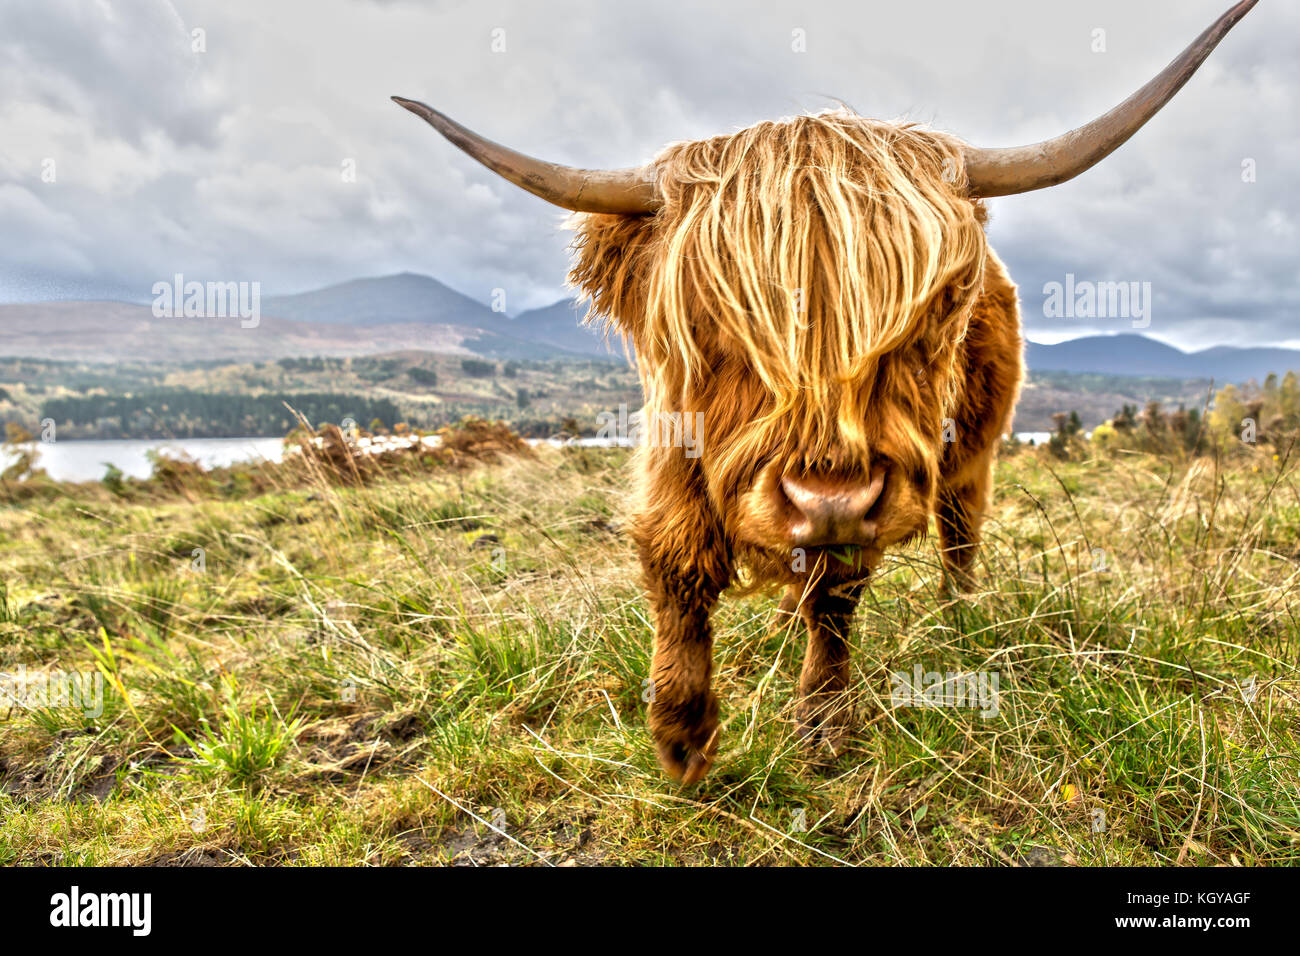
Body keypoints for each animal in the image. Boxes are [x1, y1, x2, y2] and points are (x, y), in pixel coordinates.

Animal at [392, 1, 1258, 785]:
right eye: (708, 319)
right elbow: (676, 567)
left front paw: (824, 722)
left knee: (959, 531)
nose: (827, 500)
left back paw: (956, 616)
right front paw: (682, 734)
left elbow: (836, 597)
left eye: (936, 306)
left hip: (972, 453)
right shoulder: (671, 454)